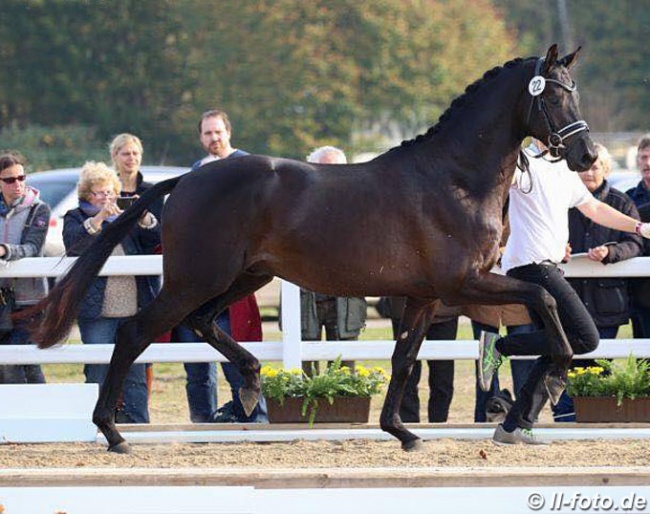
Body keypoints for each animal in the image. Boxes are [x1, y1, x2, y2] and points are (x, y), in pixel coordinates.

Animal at [27, 46, 596, 450]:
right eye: (551, 97)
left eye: (576, 92)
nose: (588, 155)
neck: (454, 178)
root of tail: (186, 180)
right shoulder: (464, 282)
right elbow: (545, 298)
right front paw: (556, 374)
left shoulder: (426, 296)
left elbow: (404, 356)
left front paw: (401, 431)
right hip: (197, 278)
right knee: (135, 332)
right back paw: (113, 433)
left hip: (245, 276)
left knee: (203, 322)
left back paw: (251, 383)